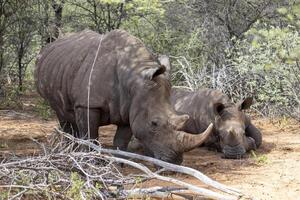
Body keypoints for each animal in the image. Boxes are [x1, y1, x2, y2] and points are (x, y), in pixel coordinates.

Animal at [34, 30, 213, 164]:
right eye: (154, 123)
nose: (175, 161)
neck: (135, 78)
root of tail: (49, 46)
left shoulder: (130, 108)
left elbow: (121, 140)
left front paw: (120, 162)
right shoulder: (88, 103)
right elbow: (90, 135)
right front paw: (90, 161)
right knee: (62, 114)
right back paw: (70, 152)